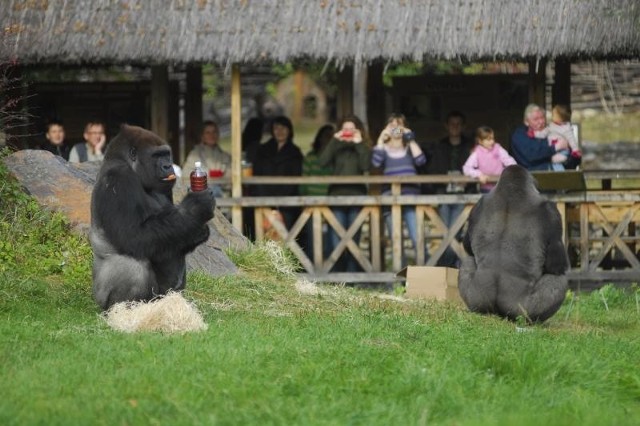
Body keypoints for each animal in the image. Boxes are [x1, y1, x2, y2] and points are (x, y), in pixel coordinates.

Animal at [90, 123, 215, 310]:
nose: (168, 166)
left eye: (166, 154)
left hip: (164, 296)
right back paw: (128, 310)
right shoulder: (119, 178)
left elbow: (179, 232)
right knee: (132, 267)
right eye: (156, 156)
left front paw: (199, 229)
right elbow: (135, 235)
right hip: (104, 299)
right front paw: (195, 208)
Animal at [458, 165, 568, 322]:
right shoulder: (551, 212)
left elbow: (467, 246)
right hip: (521, 310)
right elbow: (556, 265)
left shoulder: (477, 206)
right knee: (558, 279)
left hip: (478, 300)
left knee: (467, 261)